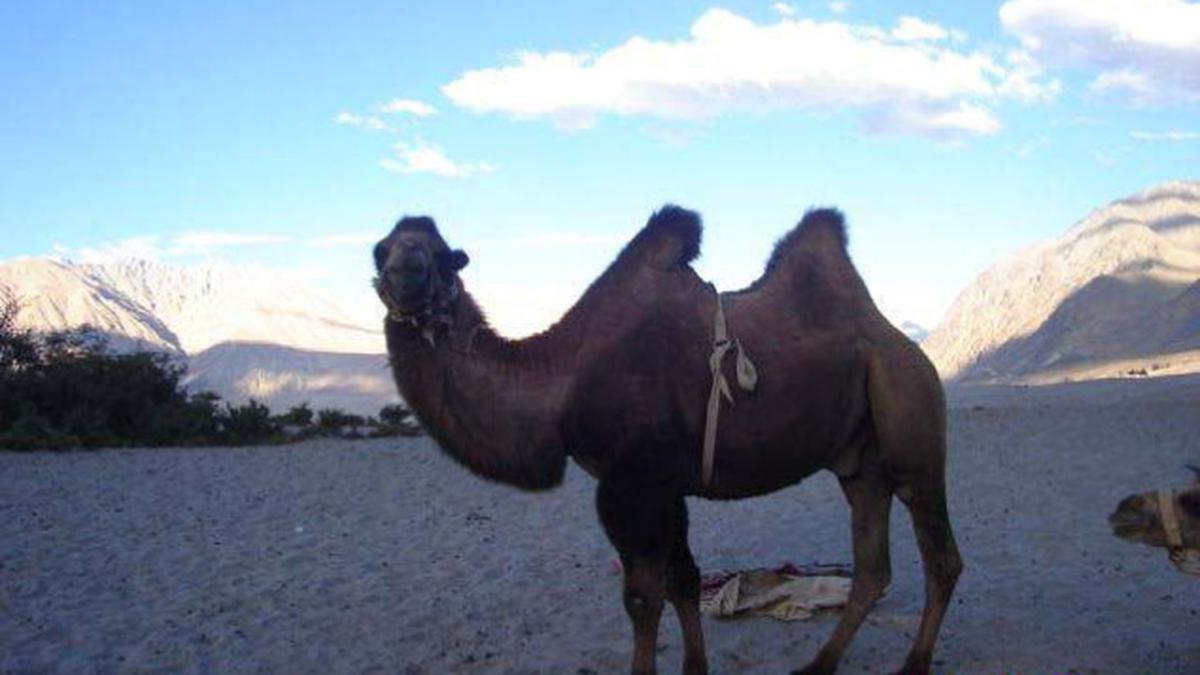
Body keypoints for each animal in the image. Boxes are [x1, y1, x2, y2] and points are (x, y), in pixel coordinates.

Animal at [374, 206, 964, 672]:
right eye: (380, 249)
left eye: (443, 256)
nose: (405, 270)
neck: (559, 385)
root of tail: (906, 346)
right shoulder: (664, 486)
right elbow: (685, 579)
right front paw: (695, 668)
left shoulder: (630, 485)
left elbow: (642, 597)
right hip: (858, 463)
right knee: (872, 566)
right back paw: (817, 666)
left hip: (911, 419)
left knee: (940, 556)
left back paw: (913, 665)